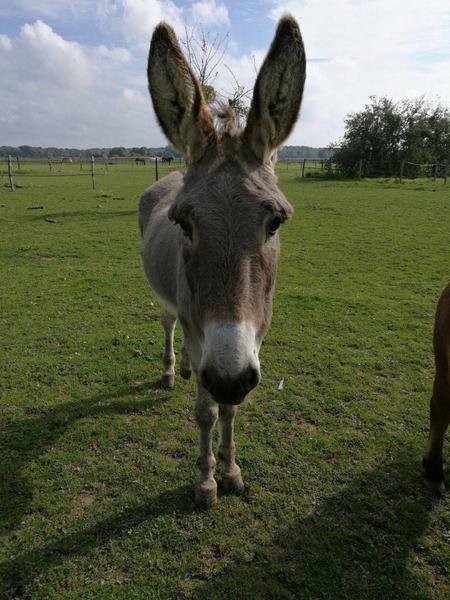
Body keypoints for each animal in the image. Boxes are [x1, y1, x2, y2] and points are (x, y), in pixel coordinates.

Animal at [138, 15, 306, 506]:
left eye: (275, 223)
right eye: (184, 224)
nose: (228, 377)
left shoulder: (251, 340)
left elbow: (228, 410)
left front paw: (230, 472)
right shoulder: (208, 338)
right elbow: (205, 412)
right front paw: (206, 481)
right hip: (167, 304)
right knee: (169, 324)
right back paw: (172, 371)